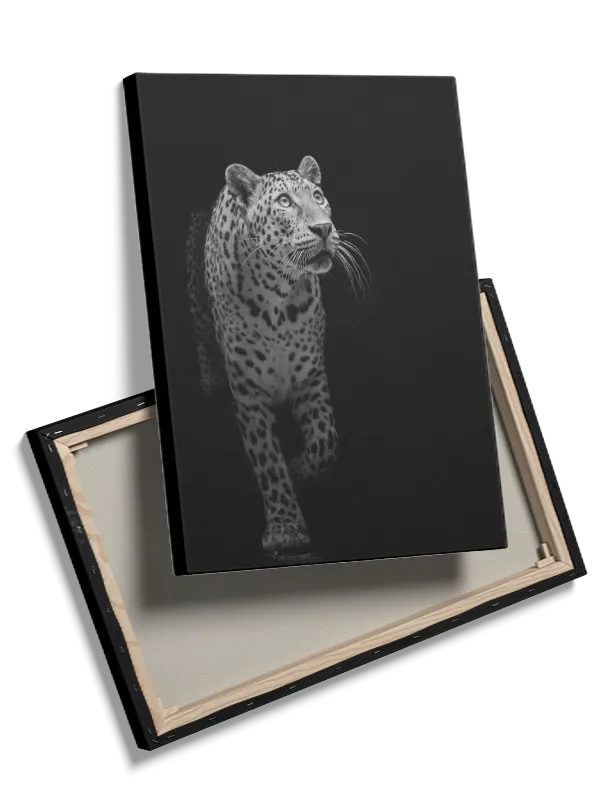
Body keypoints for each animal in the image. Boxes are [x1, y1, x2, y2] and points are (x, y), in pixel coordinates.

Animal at [187, 155, 366, 558]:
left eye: (318, 196)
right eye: (285, 202)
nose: (324, 228)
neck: (278, 296)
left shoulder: (310, 375)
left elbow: (325, 440)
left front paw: (301, 469)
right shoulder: (248, 392)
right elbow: (268, 462)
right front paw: (285, 529)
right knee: (203, 339)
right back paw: (209, 385)